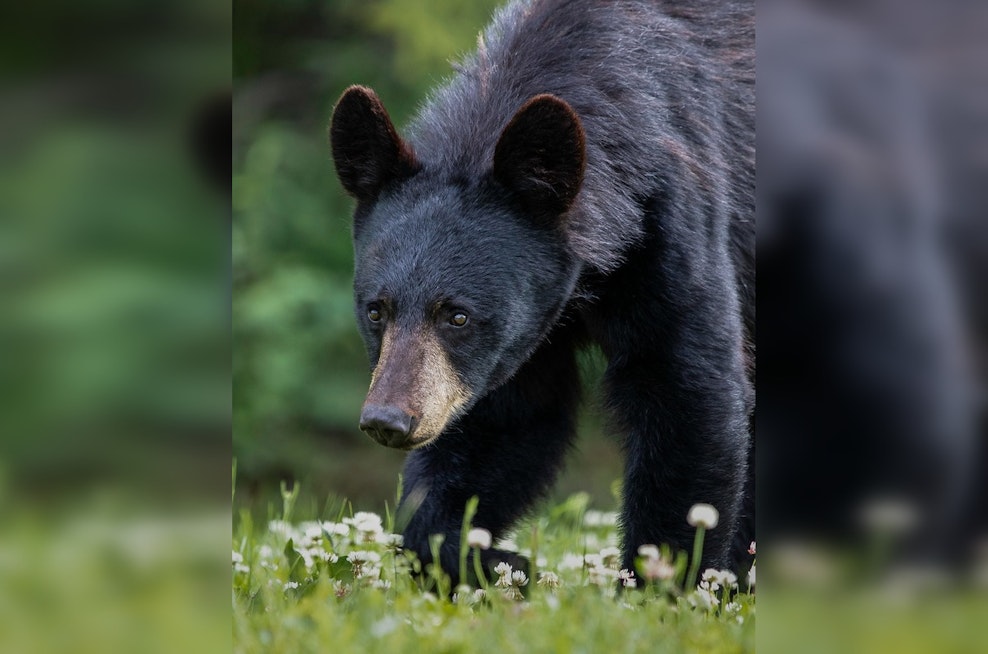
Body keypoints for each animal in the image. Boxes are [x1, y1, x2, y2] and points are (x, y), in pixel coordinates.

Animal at [329, 0, 754, 584]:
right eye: (376, 311)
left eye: (457, 315)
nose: (389, 421)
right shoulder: (518, 334)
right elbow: (506, 420)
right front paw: (492, 561)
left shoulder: (673, 221)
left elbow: (687, 388)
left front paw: (660, 584)